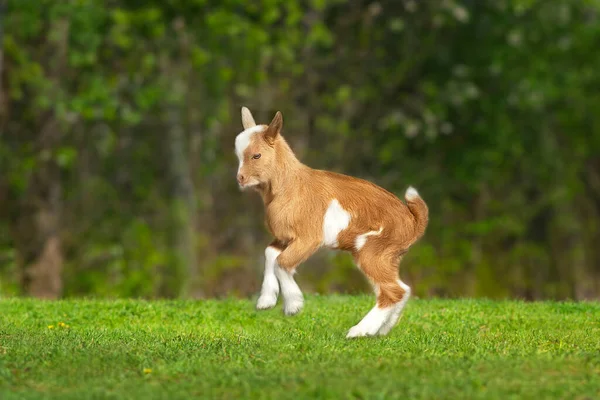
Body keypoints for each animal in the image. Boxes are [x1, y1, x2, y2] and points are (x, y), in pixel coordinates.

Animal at [237, 107, 428, 338]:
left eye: (256, 155)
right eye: (238, 154)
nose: (240, 178)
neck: (289, 186)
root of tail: (412, 221)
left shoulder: (309, 238)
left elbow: (282, 262)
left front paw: (293, 305)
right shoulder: (284, 237)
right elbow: (270, 254)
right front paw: (266, 301)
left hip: (373, 249)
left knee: (394, 291)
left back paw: (358, 331)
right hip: (389, 255)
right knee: (400, 289)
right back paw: (381, 329)